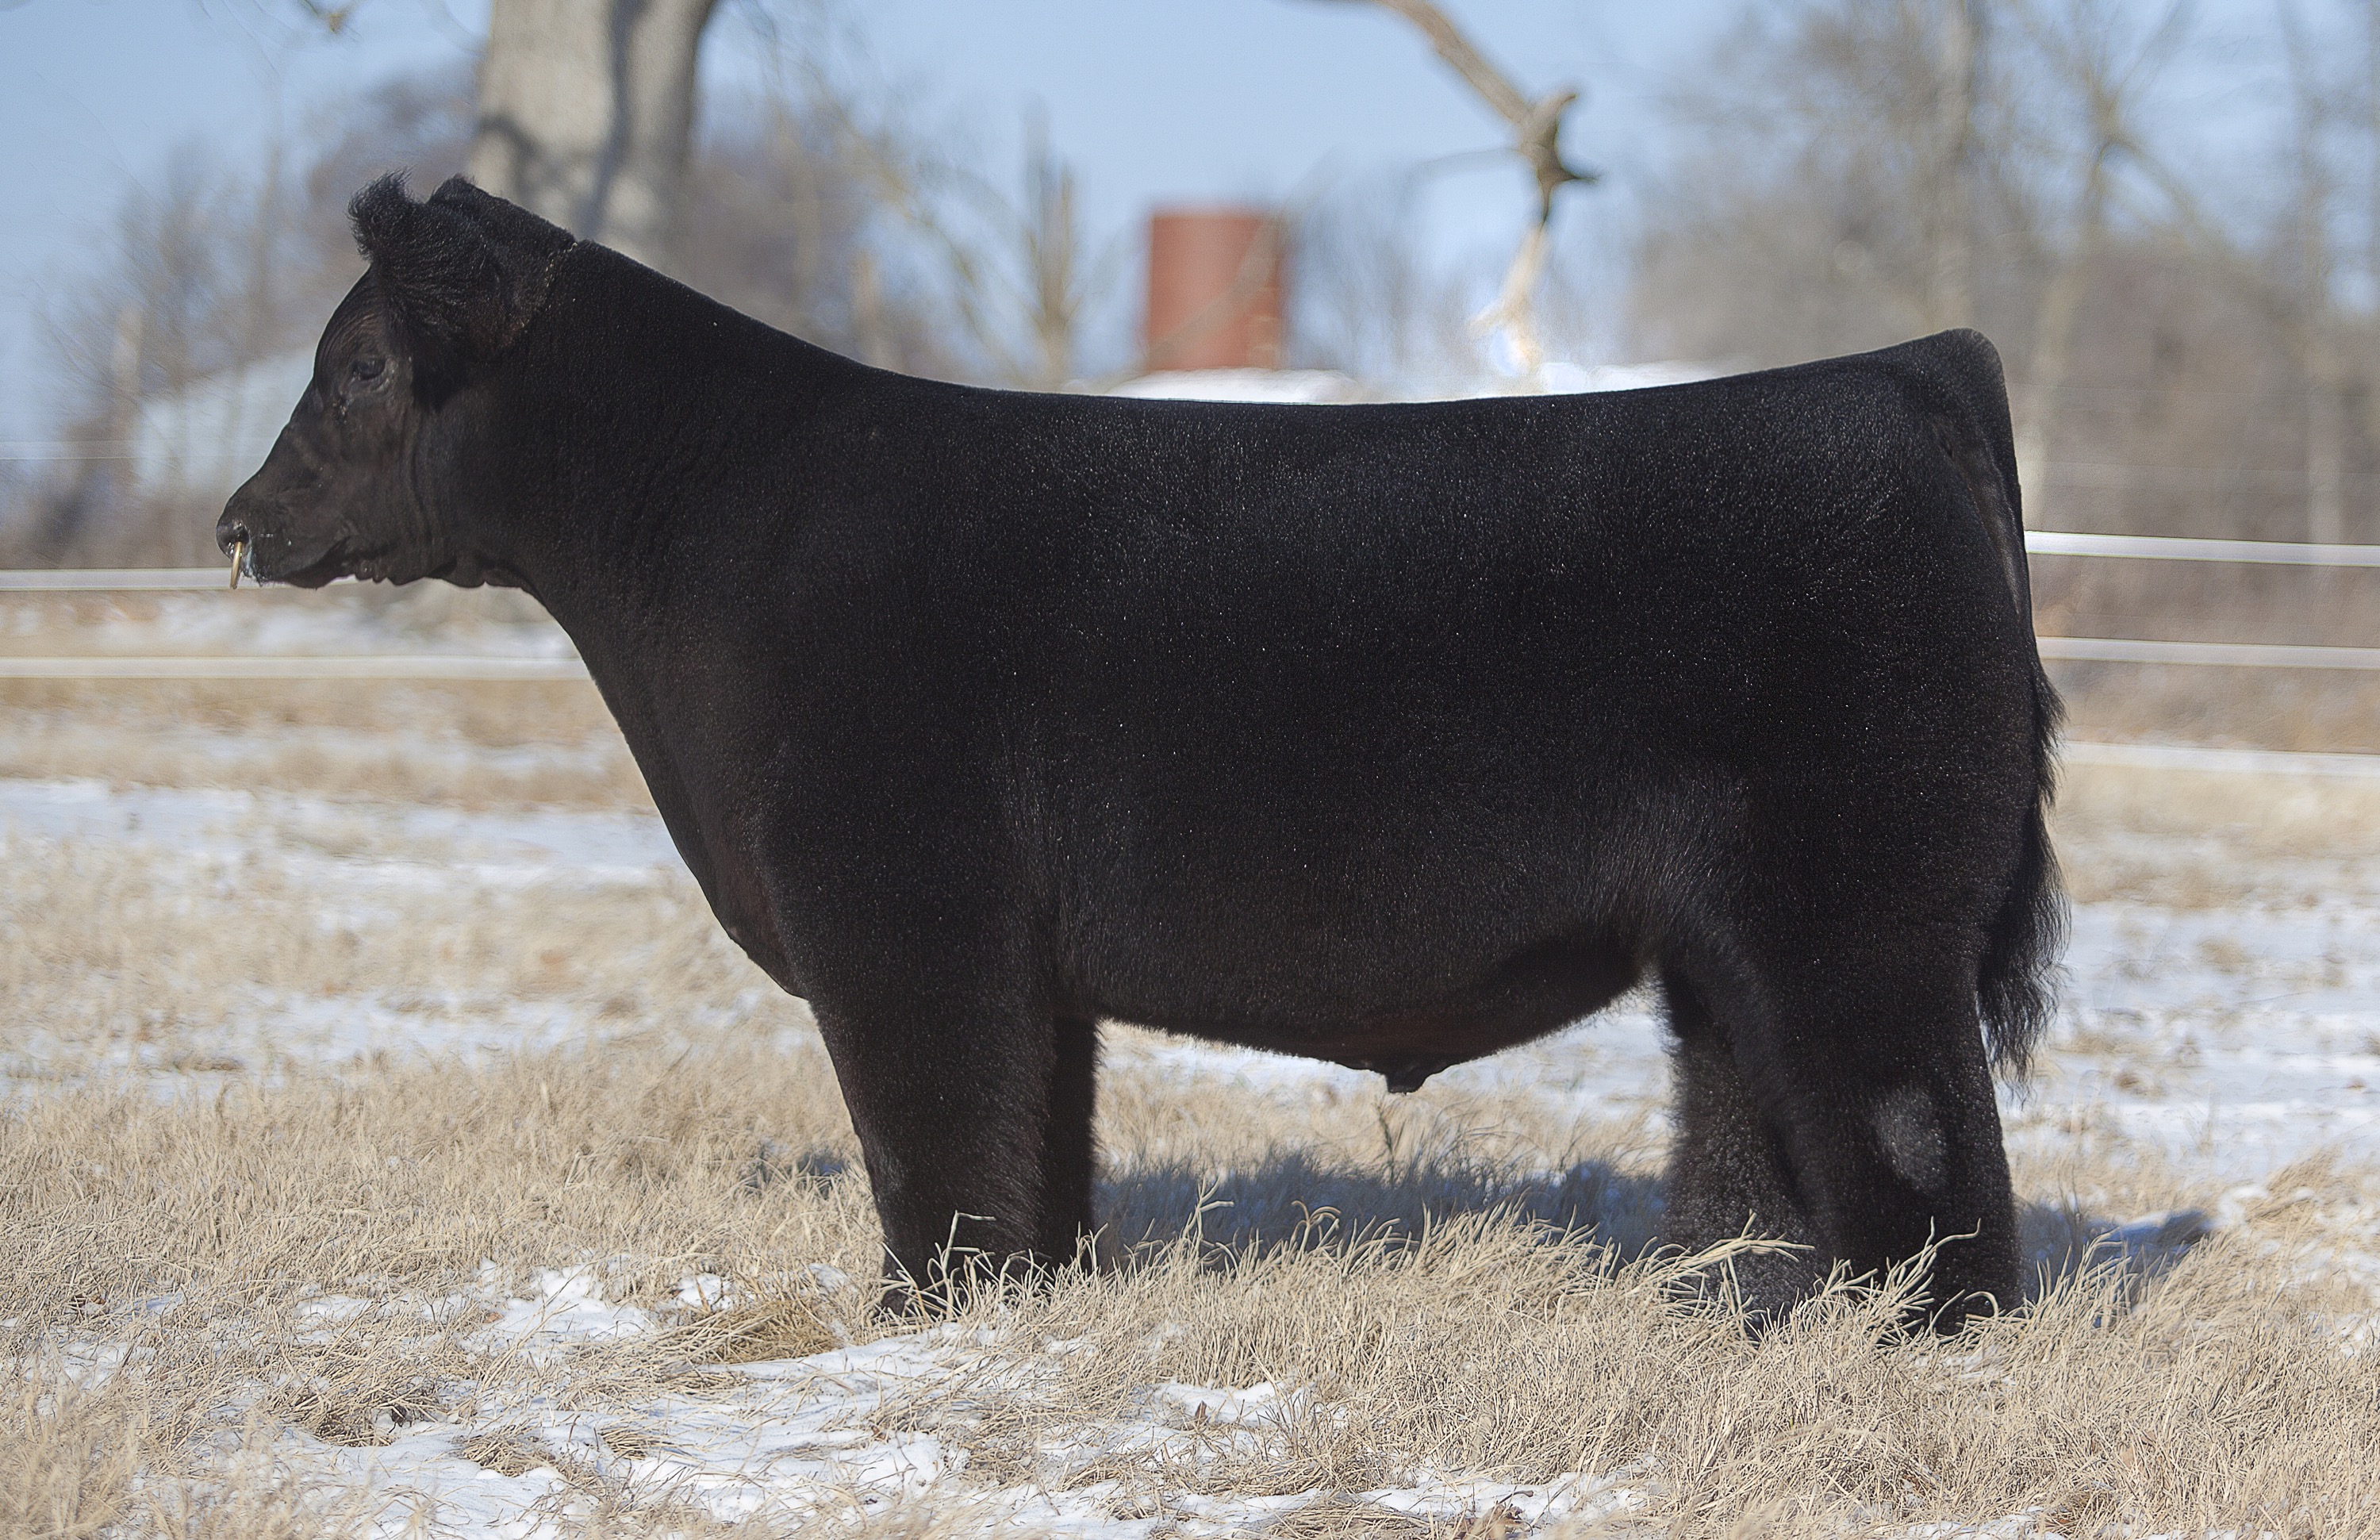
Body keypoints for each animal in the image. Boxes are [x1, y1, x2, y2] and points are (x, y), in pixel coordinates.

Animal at [221, 175, 2063, 1328]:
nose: (237, 521)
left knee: (1921, 1137)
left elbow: (929, 1133)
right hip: (1734, 941)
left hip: (1861, 915)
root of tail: (1906, 375)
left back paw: (1919, 1333)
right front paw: (1021, 1296)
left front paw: (919, 1313)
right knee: (1751, 1113)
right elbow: (1030, 1141)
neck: (725, 528)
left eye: (362, 364)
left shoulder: (901, 914)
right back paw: (1736, 1306)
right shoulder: (1024, 962)